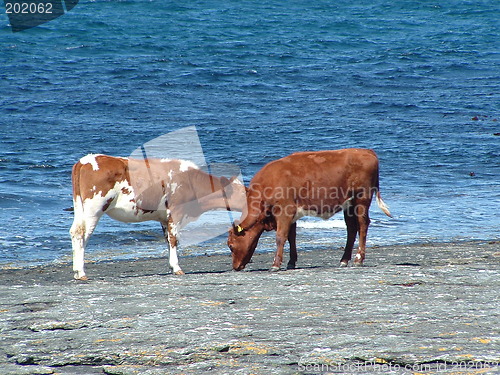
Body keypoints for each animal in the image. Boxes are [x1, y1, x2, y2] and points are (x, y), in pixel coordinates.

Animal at [70, 154, 246, 280]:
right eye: (243, 192)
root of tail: (84, 160)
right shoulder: (176, 212)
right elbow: (174, 240)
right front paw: (177, 268)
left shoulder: (164, 218)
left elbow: (168, 240)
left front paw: (172, 267)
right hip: (94, 209)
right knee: (82, 234)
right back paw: (81, 272)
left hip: (80, 208)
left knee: (74, 231)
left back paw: (77, 272)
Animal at [228, 148, 394, 272]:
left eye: (230, 245)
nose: (235, 267)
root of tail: (366, 151)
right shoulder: (291, 215)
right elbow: (292, 237)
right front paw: (291, 262)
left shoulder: (284, 211)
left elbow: (281, 237)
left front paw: (276, 264)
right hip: (349, 205)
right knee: (352, 228)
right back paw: (344, 260)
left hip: (362, 199)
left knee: (363, 225)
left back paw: (359, 259)